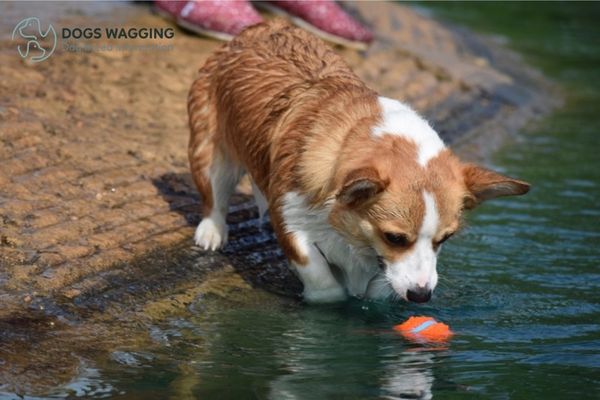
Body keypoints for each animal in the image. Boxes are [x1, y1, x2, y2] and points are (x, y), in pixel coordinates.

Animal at [189, 20, 528, 304]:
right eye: (395, 238)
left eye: (445, 238)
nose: (421, 296)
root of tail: (260, 27)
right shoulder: (290, 219)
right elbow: (322, 280)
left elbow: (379, 286)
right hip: (211, 152)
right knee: (214, 194)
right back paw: (211, 232)